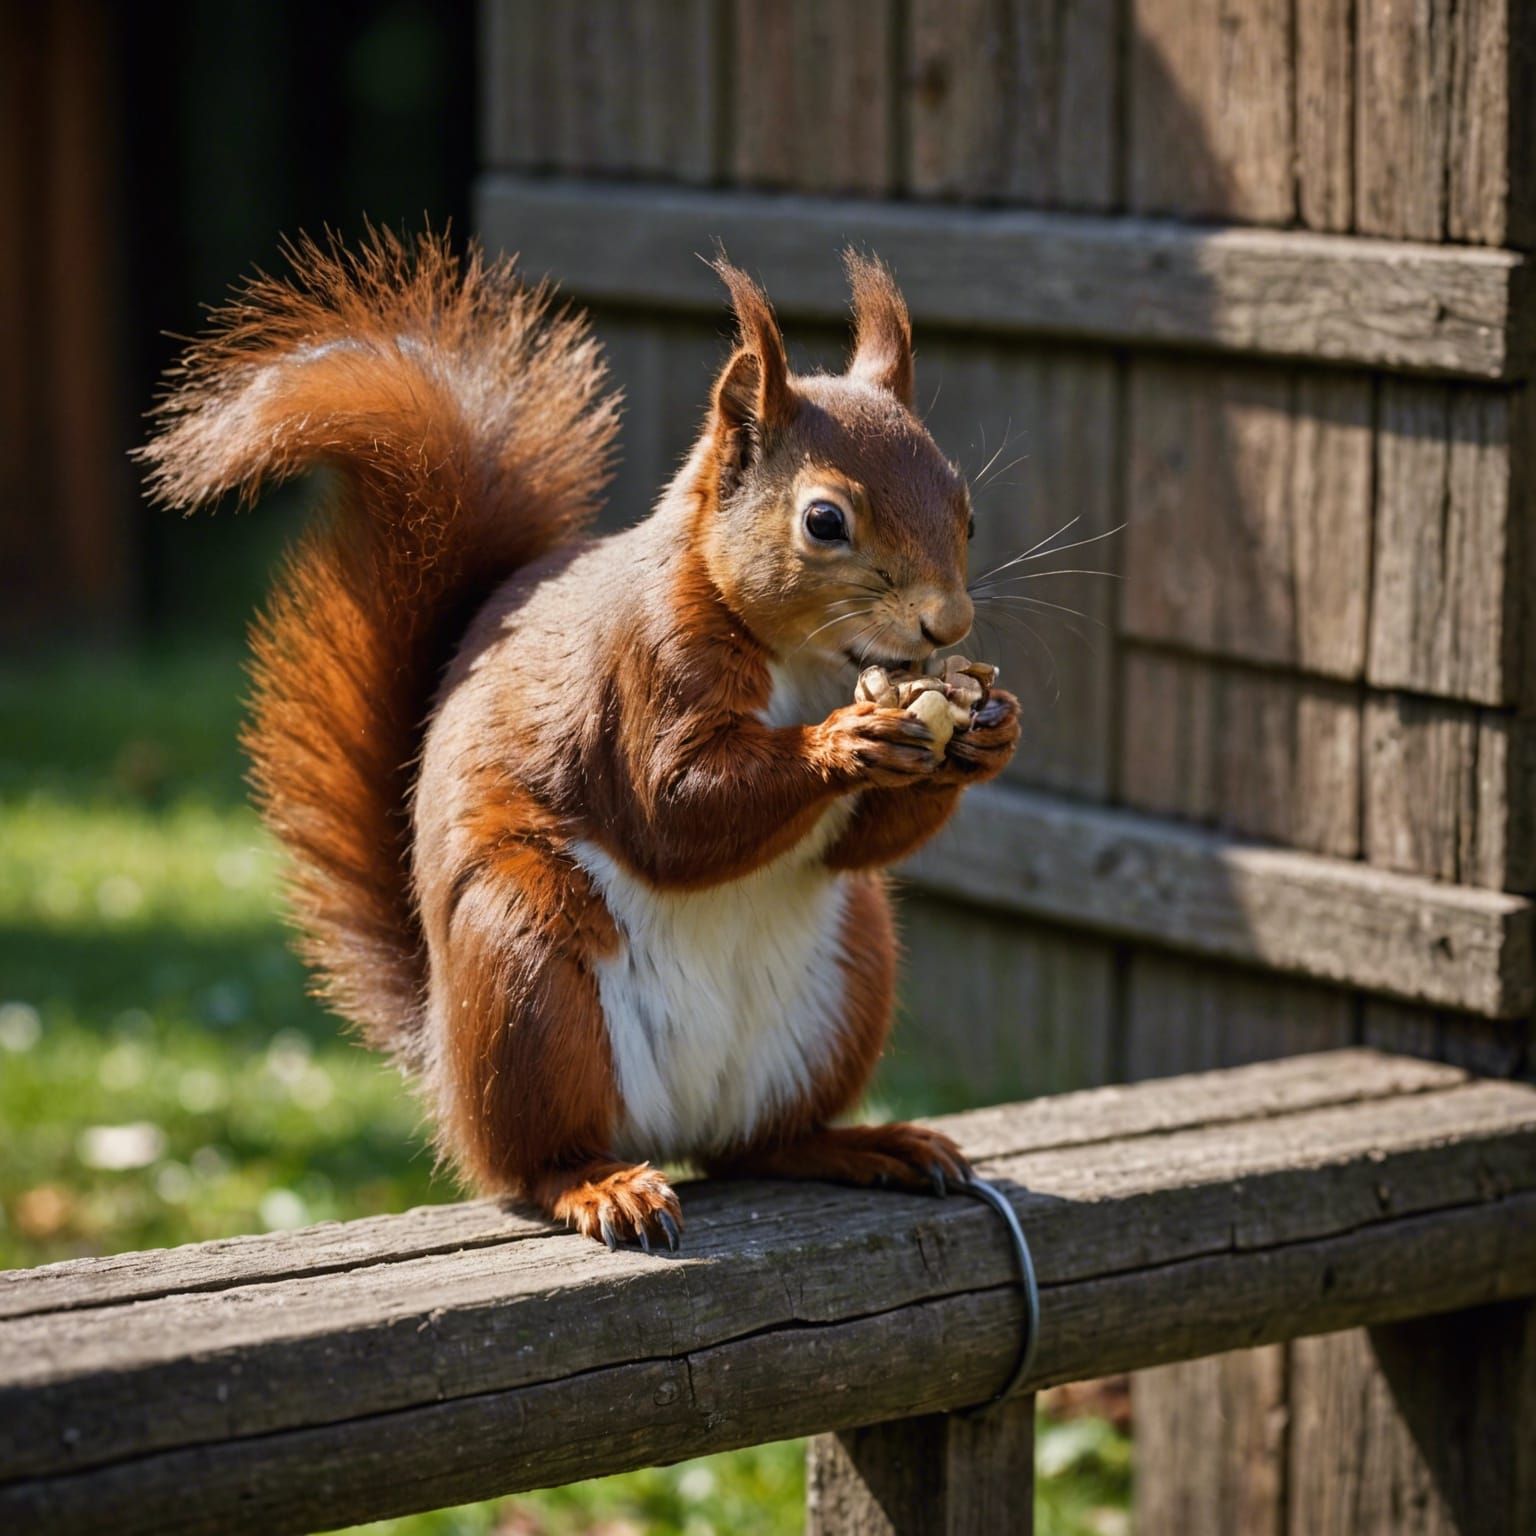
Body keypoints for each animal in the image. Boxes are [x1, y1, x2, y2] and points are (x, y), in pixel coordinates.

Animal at [140, 231, 1021, 1250]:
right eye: (824, 520)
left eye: (967, 509)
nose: (947, 626)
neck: (802, 658)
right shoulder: (642, 669)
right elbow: (675, 812)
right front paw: (849, 740)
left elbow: (857, 841)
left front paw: (988, 731)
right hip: (528, 972)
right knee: (536, 1159)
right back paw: (601, 1187)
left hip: (852, 974)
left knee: (760, 1145)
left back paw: (861, 1145)